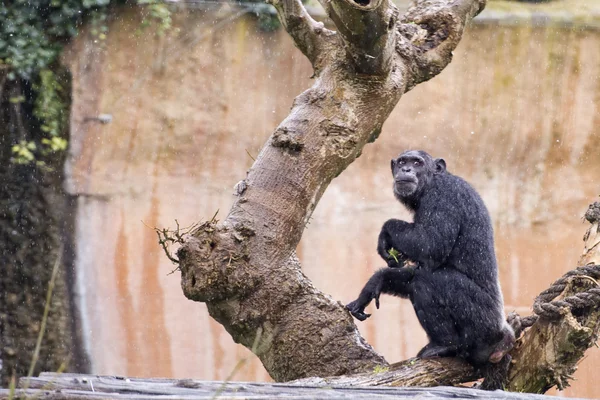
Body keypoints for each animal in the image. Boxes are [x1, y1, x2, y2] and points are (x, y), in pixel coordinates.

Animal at [346, 151, 516, 368]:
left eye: (416, 162)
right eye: (402, 161)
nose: (406, 169)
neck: (430, 183)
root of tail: (504, 338)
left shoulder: (443, 196)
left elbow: (430, 243)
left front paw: (385, 232)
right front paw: (375, 282)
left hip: (483, 322)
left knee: (428, 281)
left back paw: (444, 345)